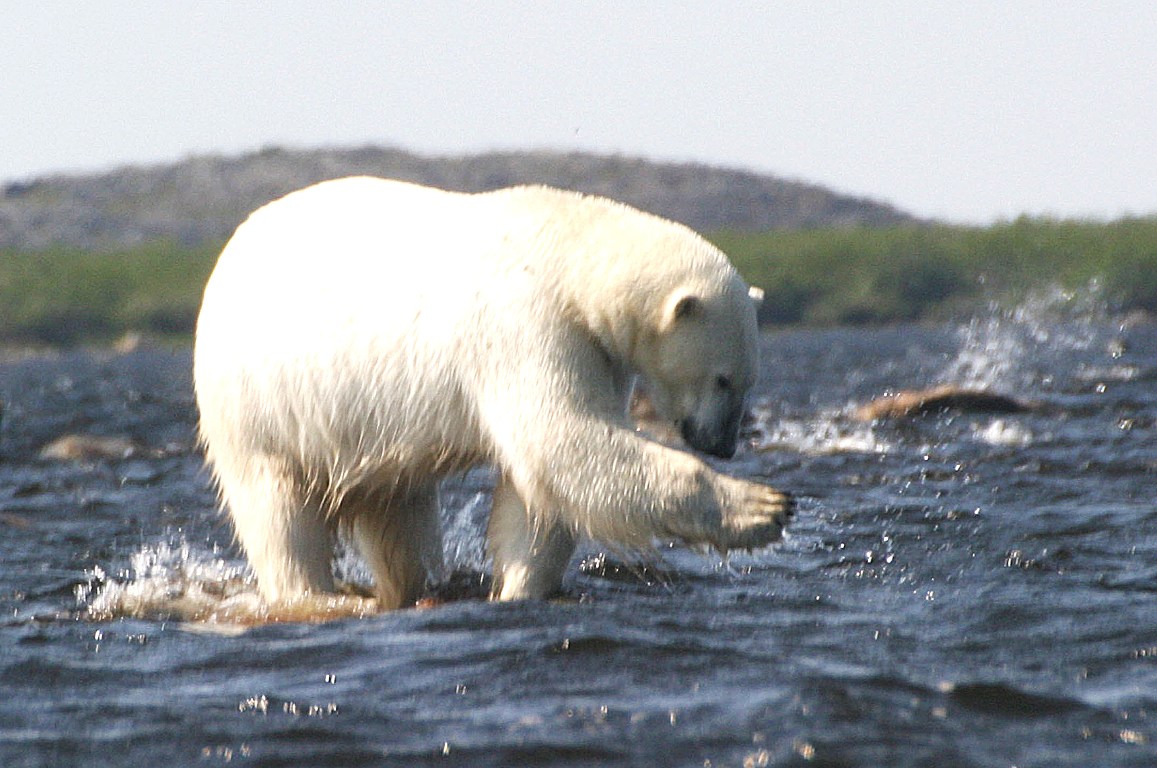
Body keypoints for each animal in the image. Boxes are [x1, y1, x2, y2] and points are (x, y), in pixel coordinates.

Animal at [193, 176, 792, 610]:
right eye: (724, 378)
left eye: (749, 380)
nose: (722, 444)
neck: (570, 256)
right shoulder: (525, 322)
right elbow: (562, 444)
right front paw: (764, 507)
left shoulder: (595, 351)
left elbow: (543, 486)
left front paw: (517, 587)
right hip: (256, 406)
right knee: (279, 514)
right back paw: (315, 594)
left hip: (369, 428)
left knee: (397, 512)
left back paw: (410, 588)